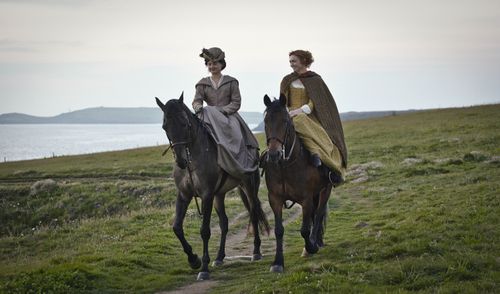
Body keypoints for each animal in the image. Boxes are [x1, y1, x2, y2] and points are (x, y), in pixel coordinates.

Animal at [262, 94, 332, 274]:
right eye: (266, 121)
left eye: (286, 121)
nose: (274, 154)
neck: (285, 166)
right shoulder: (275, 199)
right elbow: (279, 230)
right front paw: (278, 262)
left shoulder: (306, 200)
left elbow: (305, 229)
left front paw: (311, 247)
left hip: (325, 189)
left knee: (319, 214)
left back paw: (314, 244)